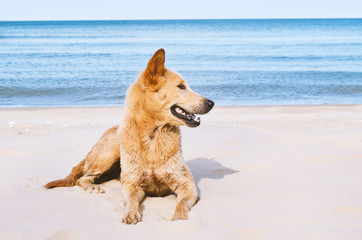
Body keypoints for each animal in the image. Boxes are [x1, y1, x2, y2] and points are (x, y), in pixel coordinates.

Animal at [45, 47, 215, 224]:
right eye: (181, 86)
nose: (211, 103)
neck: (153, 137)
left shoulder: (186, 184)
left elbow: (181, 203)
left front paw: (179, 217)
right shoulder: (132, 184)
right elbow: (132, 200)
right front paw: (131, 213)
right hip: (109, 152)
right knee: (82, 178)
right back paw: (93, 186)